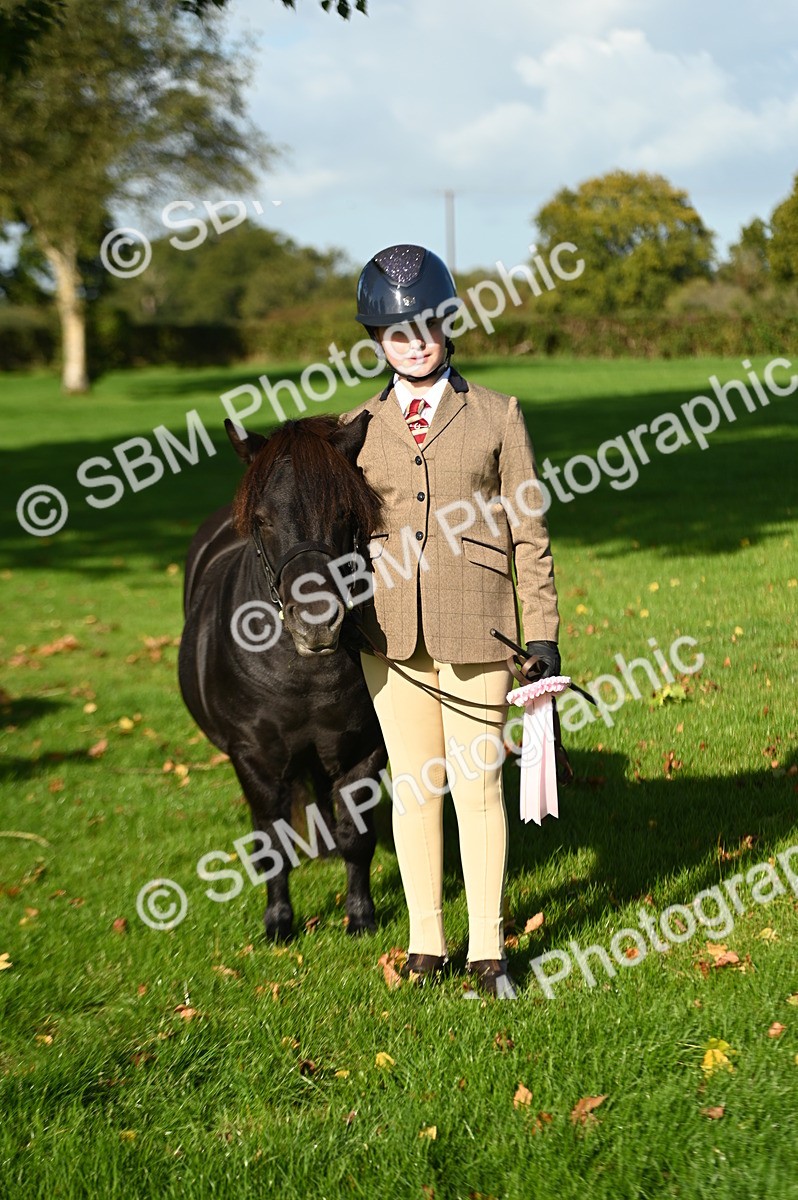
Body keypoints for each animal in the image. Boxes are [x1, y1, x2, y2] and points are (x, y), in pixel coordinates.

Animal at [178, 412, 388, 941]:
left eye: (344, 513)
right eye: (262, 520)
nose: (317, 622)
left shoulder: (363, 749)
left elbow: (357, 836)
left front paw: (361, 916)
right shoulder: (254, 759)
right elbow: (271, 846)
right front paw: (278, 923)